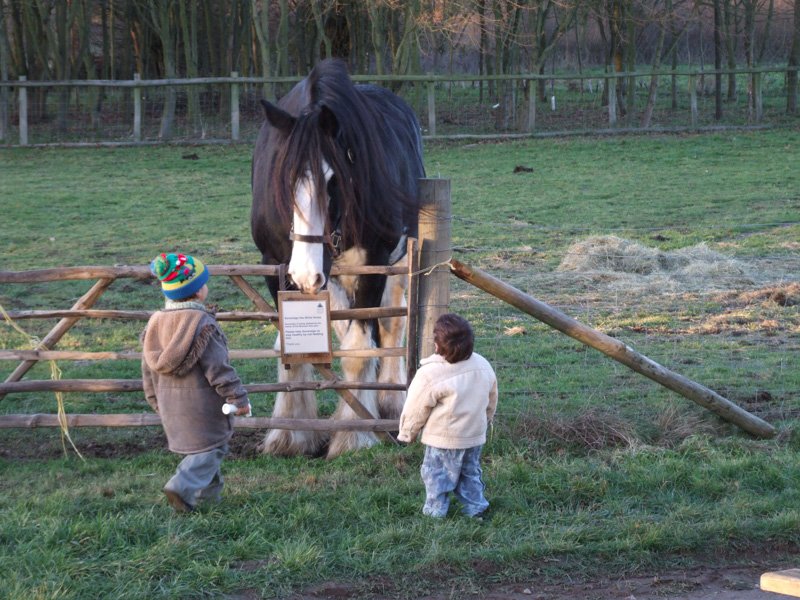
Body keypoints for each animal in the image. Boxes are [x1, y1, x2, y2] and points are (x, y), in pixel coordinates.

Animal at [251, 58, 426, 459]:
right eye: (282, 179)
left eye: (334, 180)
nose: (306, 273)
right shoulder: (275, 263)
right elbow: (293, 348)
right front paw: (292, 432)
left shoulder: (374, 262)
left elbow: (360, 347)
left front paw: (354, 432)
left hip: (394, 264)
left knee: (390, 325)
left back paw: (388, 400)